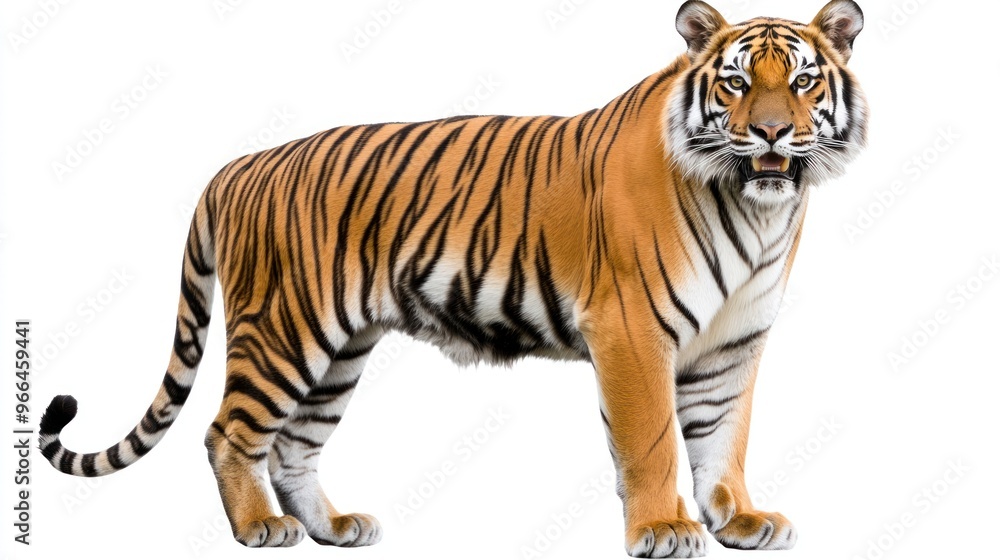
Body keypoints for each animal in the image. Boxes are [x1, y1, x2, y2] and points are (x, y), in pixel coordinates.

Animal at [39, 1, 867, 557]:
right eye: (734, 84)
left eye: (801, 82)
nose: (770, 132)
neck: (754, 209)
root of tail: (237, 166)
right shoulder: (632, 329)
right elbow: (654, 439)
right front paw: (665, 527)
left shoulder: (732, 342)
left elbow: (724, 436)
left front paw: (740, 520)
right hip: (283, 329)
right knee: (230, 432)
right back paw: (259, 528)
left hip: (339, 351)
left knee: (293, 444)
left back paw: (332, 527)